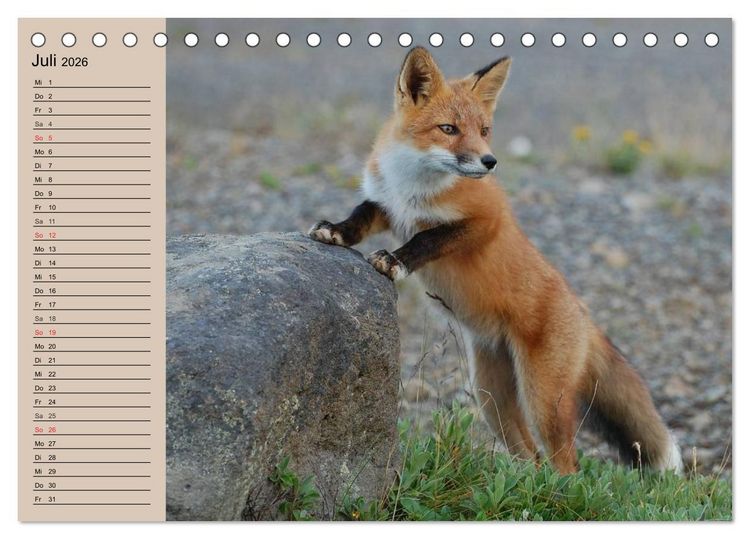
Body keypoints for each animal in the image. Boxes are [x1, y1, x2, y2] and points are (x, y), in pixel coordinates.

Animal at [308, 47, 682, 475]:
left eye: (484, 130)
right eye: (449, 129)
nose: (490, 162)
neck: (413, 187)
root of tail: (584, 315)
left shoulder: (486, 220)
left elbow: (427, 238)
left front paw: (395, 261)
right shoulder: (387, 205)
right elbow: (360, 215)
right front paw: (335, 232)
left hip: (543, 401)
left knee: (566, 464)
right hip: (492, 398)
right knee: (531, 458)